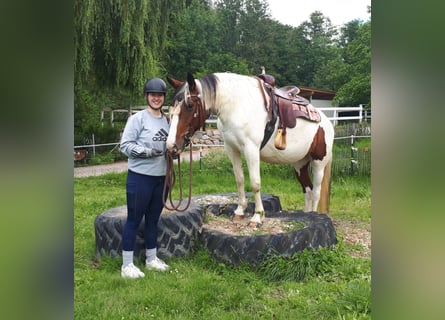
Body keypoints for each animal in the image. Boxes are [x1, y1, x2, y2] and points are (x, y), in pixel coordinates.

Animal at [165, 72, 332, 225]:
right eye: (171, 107)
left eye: (189, 105)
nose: (171, 146)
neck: (237, 106)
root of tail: (326, 120)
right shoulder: (232, 149)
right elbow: (239, 179)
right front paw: (239, 211)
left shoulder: (251, 149)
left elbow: (255, 183)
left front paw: (257, 216)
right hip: (299, 163)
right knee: (308, 190)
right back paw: (307, 213)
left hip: (318, 163)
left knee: (316, 192)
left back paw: (314, 214)